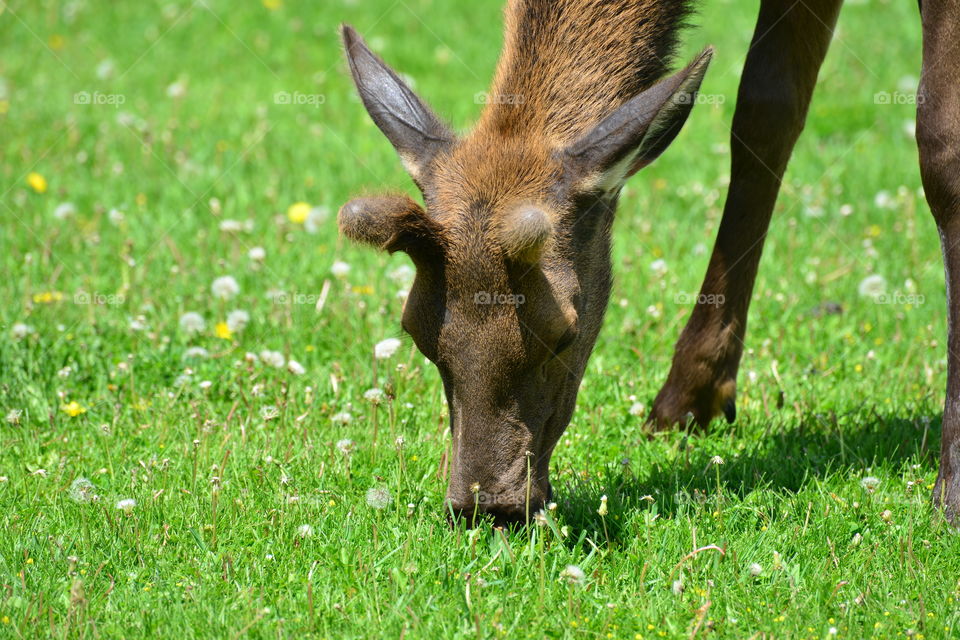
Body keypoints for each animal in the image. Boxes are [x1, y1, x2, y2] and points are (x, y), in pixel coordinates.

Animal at [337, 0, 960, 526]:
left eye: (564, 333)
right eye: (415, 331)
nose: (488, 507)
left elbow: (941, 144)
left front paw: (949, 493)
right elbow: (764, 113)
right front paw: (693, 397)